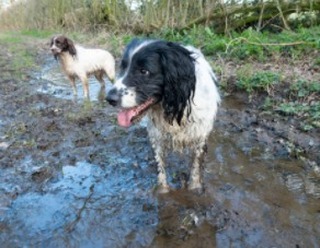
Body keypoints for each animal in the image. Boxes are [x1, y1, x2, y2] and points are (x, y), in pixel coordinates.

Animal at [107, 39, 220, 194]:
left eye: (144, 71)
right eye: (123, 67)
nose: (109, 99)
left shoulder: (200, 136)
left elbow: (196, 166)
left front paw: (194, 188)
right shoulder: (157, 136)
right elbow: (160, 167)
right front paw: (162, 191)